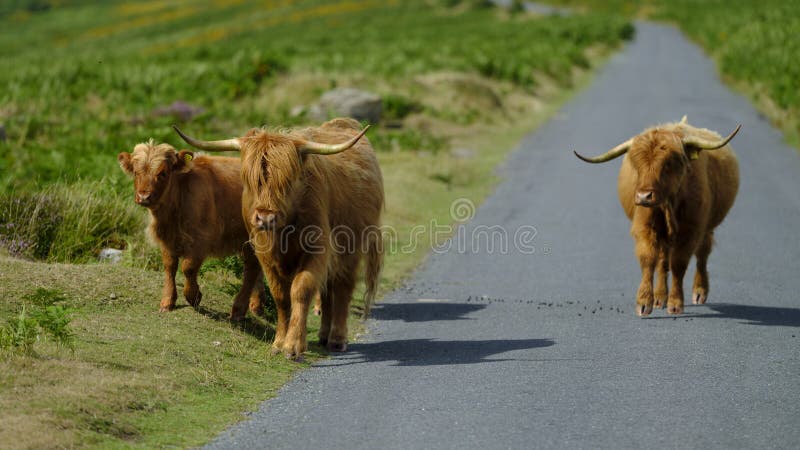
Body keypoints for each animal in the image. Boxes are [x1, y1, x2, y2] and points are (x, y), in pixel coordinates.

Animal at [117, 141, 266, 320]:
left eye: (163, 173)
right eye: (136, 172)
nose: (144, 197)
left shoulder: (200, 241)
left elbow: (187, 268)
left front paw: (194, 297)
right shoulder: (167, 240)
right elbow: (170, 266)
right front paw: (168, 301)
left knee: (251, 268)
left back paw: (238, 310)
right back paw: (255, 305)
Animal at [174, 118, 384, 358]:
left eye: (287, 181)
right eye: (252, 180)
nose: (265, 217)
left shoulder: (318, 250)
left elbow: (301, 289)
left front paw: (293, 346)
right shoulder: (265, 254)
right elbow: (281, 297)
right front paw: (279, 342)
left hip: (351, 248)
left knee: (342, 287)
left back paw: (337, 339)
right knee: (328, 290)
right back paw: (323, 335)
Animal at [572, 118, 740, 318]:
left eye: (668, 164)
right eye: (637, 165)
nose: (644, 196)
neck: (668, 203)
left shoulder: (691, 230)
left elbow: (679, 264)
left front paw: (675, 303)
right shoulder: (645, 227)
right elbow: (648, 260)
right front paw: (645, 302)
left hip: (707, 228)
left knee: (702, 254)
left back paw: (699, 292)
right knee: (663, 261)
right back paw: (660, 297)